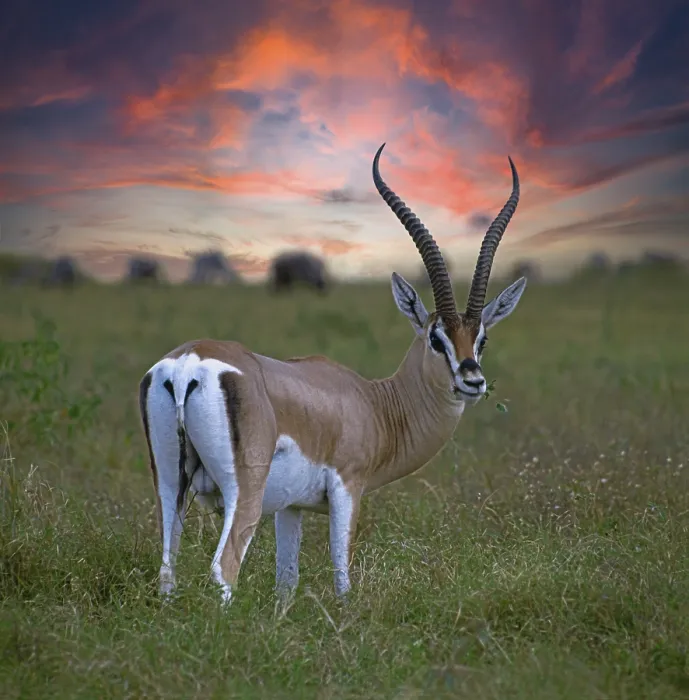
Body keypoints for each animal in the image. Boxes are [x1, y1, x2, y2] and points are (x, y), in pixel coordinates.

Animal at [138, 143, 527, 604]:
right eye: (436, 338)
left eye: (481, 339)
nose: (472, 381)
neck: (376, 405)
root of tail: (188, 364)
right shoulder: (347, 490)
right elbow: (343, 580)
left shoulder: (290, 508)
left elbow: (286, 583)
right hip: (243, 496)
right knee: (223, 569)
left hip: (169, 486)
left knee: (167, 572)